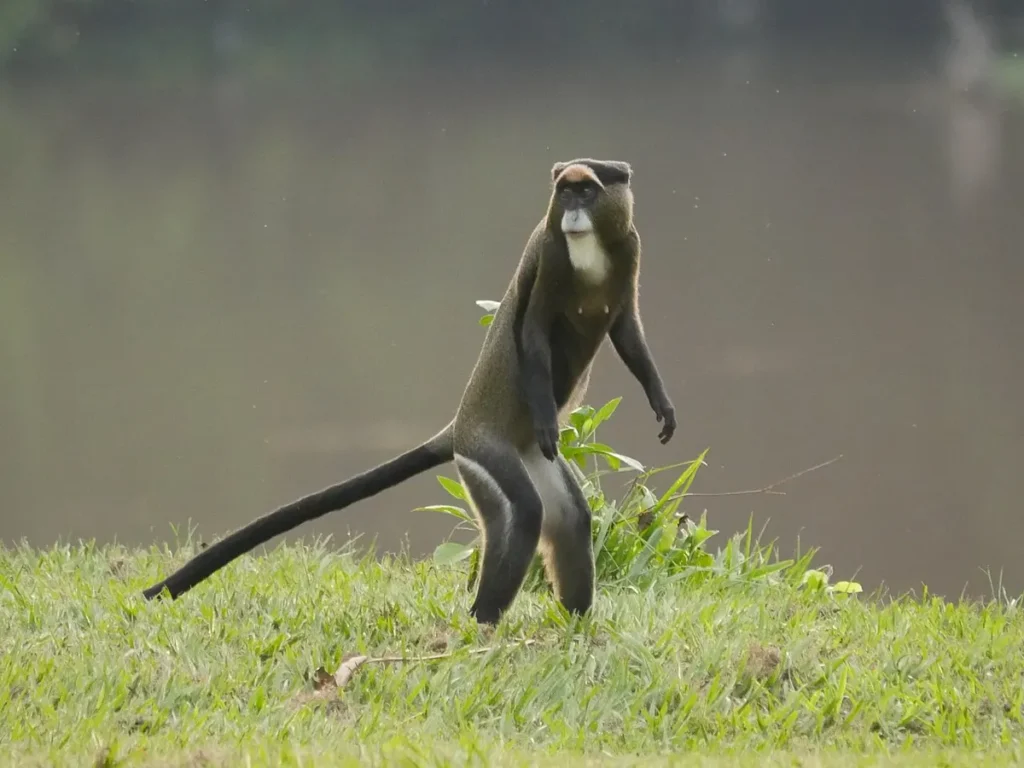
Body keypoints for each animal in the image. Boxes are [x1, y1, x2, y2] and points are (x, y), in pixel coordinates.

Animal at [142, 157, 677, 625]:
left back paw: (574, 616)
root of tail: (456, 430)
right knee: (524, 512)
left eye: (587, 191)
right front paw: (550, 418)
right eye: (564, 191)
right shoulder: (548, 253)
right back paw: (483, 619)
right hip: (487, 456)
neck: (590, 249)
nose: (572, 211)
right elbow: (532, 331)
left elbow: (626, 329)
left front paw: (663, 405)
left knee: (570, 518)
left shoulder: (630, 250)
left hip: (530, 458)